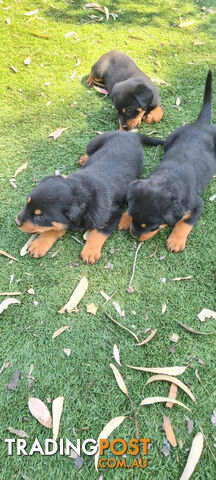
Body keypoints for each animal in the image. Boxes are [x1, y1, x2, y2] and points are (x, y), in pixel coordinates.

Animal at [15, 131, 164, 264]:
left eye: (40, 217)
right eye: (27, 203)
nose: (17, 222)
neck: (83, 190)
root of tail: (131, 134)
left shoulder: (113, 214)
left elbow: (98, 233)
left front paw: (90, 252)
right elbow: (54, 228)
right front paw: (39, 244)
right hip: (94, 142)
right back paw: (84, 159)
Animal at [119, 71, 215, 253]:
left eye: (153, 227)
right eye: (133, 217)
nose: (134, 235)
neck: (166, 181)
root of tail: (202, 123)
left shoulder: (196, 204)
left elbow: (184, 223)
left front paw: (175, 241)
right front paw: (123, 219)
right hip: (172, 136)